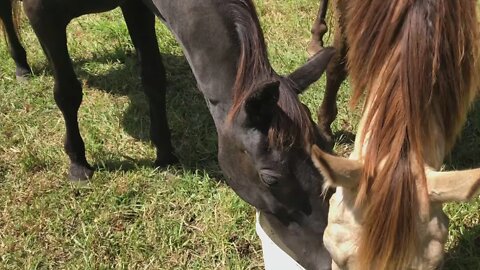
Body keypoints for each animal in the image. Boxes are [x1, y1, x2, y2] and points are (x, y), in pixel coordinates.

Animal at [12, 0, 334, 266]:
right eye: (271, 179)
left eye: (325, 148)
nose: (327, 258)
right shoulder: (41, 15)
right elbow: (67, 92)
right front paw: (78, 164)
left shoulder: (136, 7)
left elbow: (153, 76)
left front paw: (164, 154)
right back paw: (20, 65)